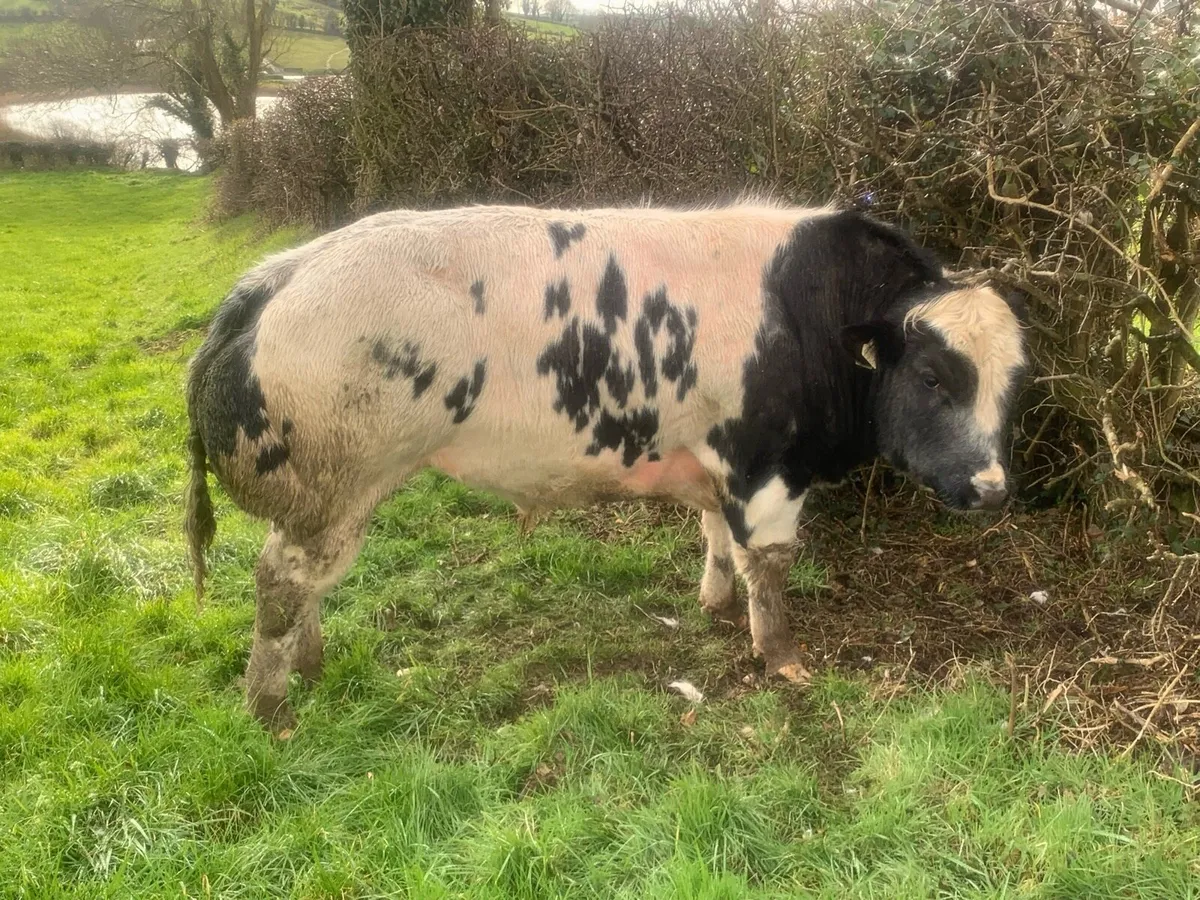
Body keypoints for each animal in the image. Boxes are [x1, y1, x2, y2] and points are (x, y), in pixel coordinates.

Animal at [184, 200, 1027, 731]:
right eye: (932, 378)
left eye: (1015, 381)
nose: (990, 490)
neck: (802, 312)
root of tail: (284, 272)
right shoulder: (765, 464)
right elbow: (769, 564)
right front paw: (782, 657)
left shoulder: (712, 458)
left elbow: (714, 534)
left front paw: (714, 601)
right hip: (335, 483)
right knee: (282, 581)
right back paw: (273, 711)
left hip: (325, 493)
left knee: (304, 584)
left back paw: (311, 666)